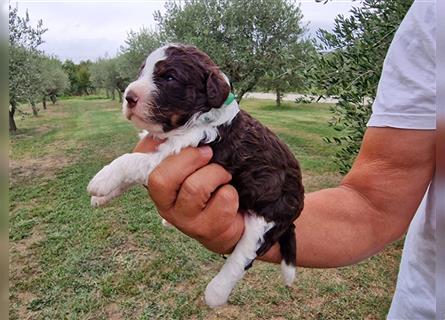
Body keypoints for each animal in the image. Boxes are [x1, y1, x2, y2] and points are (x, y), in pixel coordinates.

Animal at [87, 44, 302, 308]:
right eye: (141, 72)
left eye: (169, 77)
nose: (129, 96)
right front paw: (102, 197)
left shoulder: (174, 154)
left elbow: (131, 160)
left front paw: (102, 179)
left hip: (266, 217)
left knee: (244, 255)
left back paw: (216, 292)